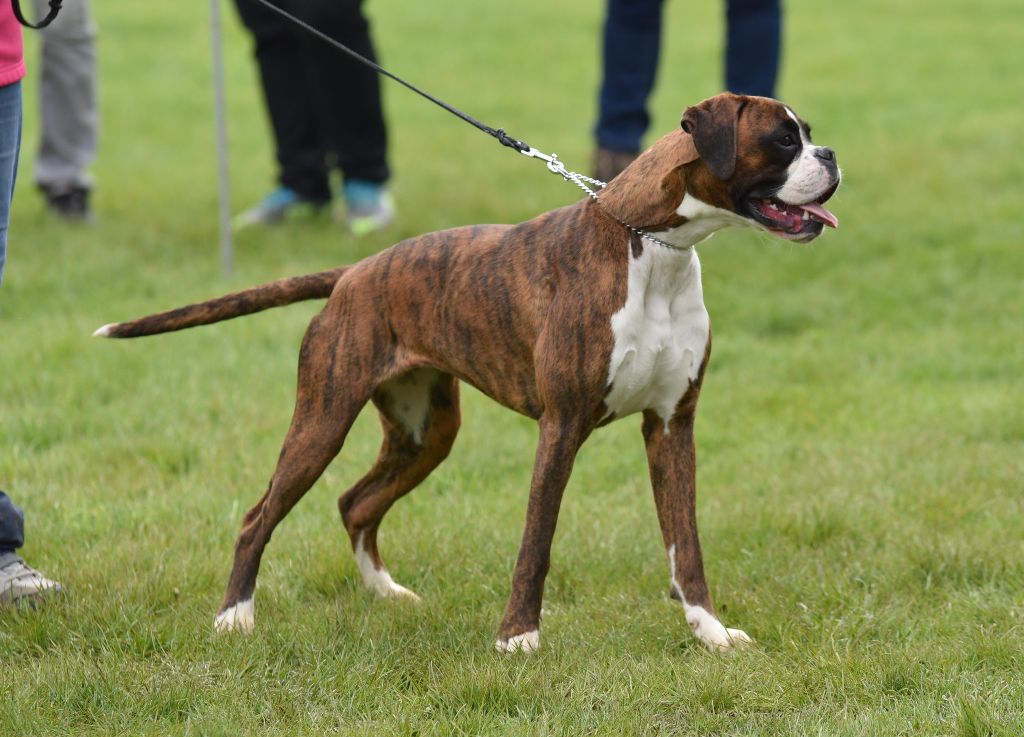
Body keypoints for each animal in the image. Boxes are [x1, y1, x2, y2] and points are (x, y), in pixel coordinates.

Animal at [95, 93, 840, 653]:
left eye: (806, 135)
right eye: (782, 140)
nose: (831, 155)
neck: (652, 246)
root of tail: (352, 274)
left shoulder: (670, 426)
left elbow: (686, 546)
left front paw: (711, 632)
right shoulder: (562, 426)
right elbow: (537, 541)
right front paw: (518, 637)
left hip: (426, 432)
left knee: (355, 503)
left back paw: (386, 594)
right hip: (322, 419)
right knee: (260, 515)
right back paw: (235, 617)